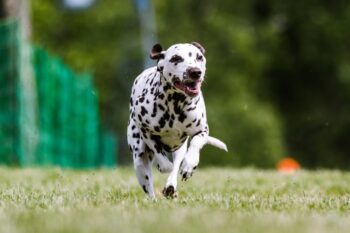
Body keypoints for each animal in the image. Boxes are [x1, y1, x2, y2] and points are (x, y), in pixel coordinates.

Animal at [127, 41, 228, 198]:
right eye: (176, 58)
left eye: (199, 57)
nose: (195, 71)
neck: (175, 104)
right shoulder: (145, 130)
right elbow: (159, 153)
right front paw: (164, 165)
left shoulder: (202, 131)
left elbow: (195, 144)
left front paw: (189, 165)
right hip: (139, 159)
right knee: (149, 186)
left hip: (178, 149)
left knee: (176, 165)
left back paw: (171, 186)